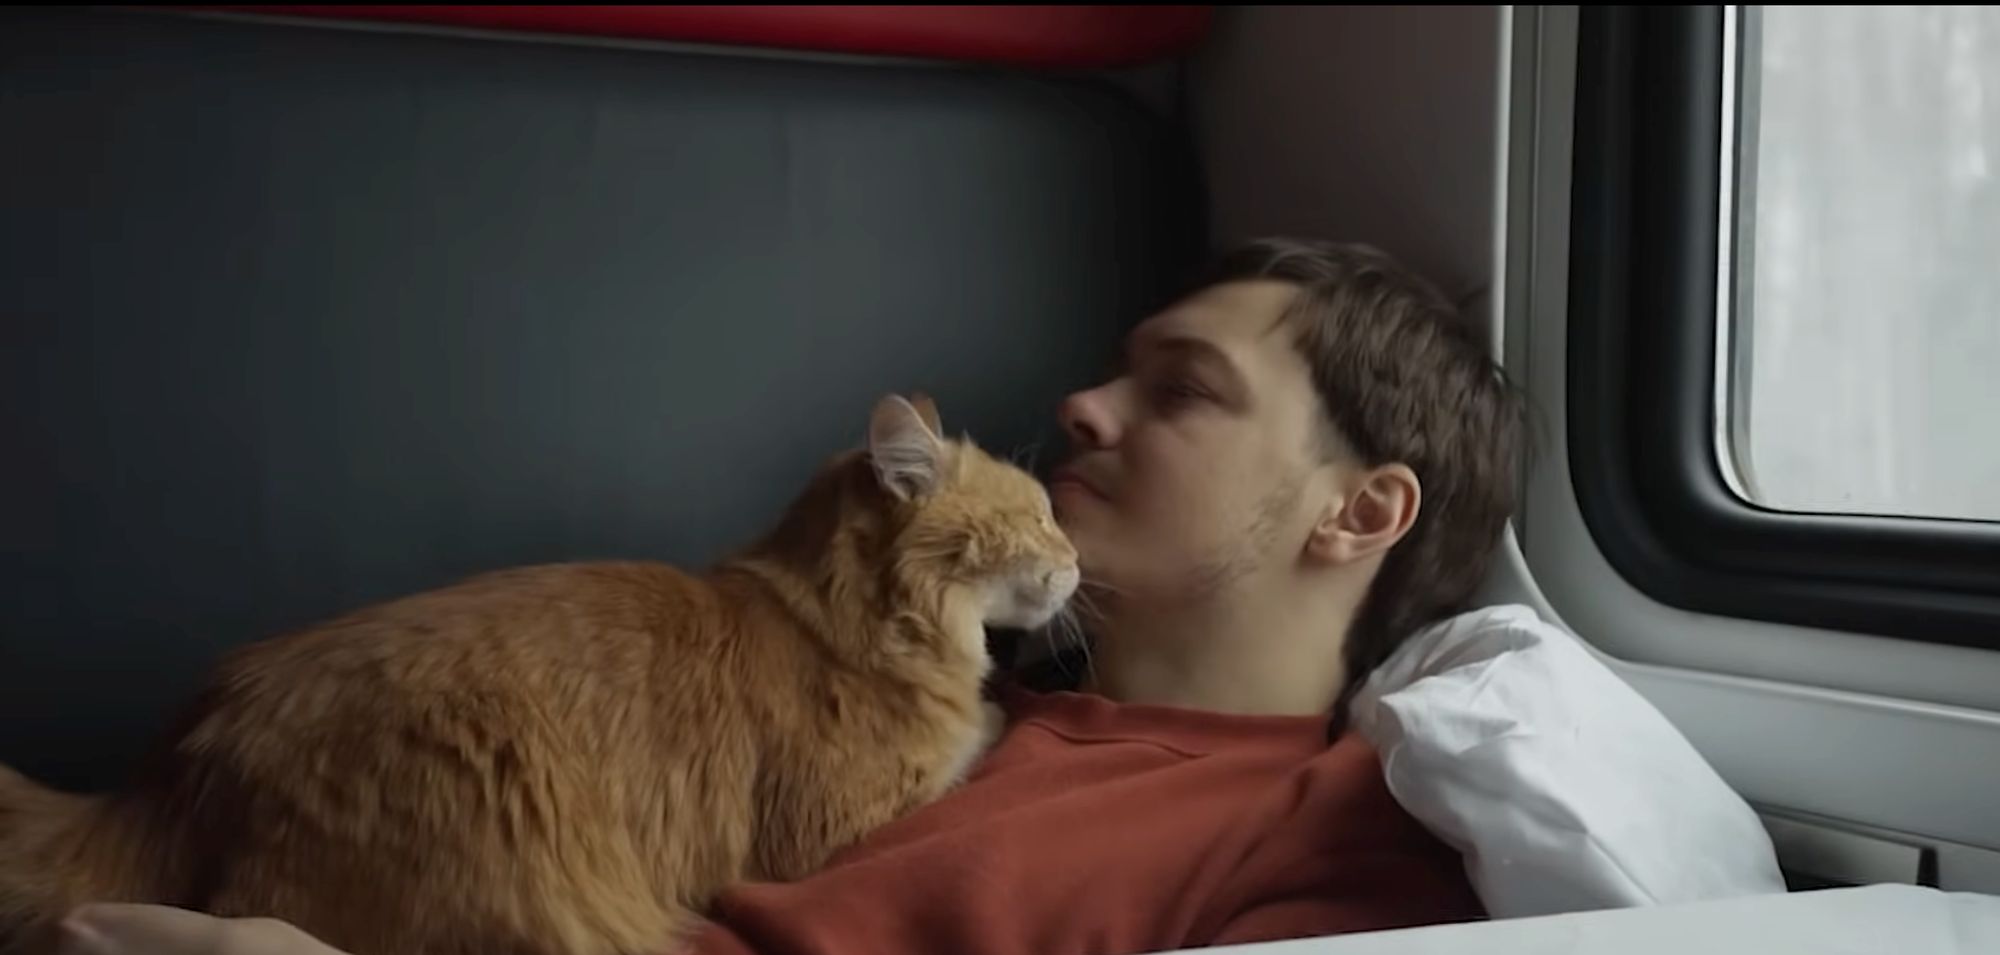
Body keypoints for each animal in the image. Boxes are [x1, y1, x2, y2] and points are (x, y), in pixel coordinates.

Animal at [0, 393, 1080, 955]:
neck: (840, 619)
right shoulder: (827, 829)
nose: (1074, 558)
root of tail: (181, 754)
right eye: (1034, 514)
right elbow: (976, 736)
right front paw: (998, 708)